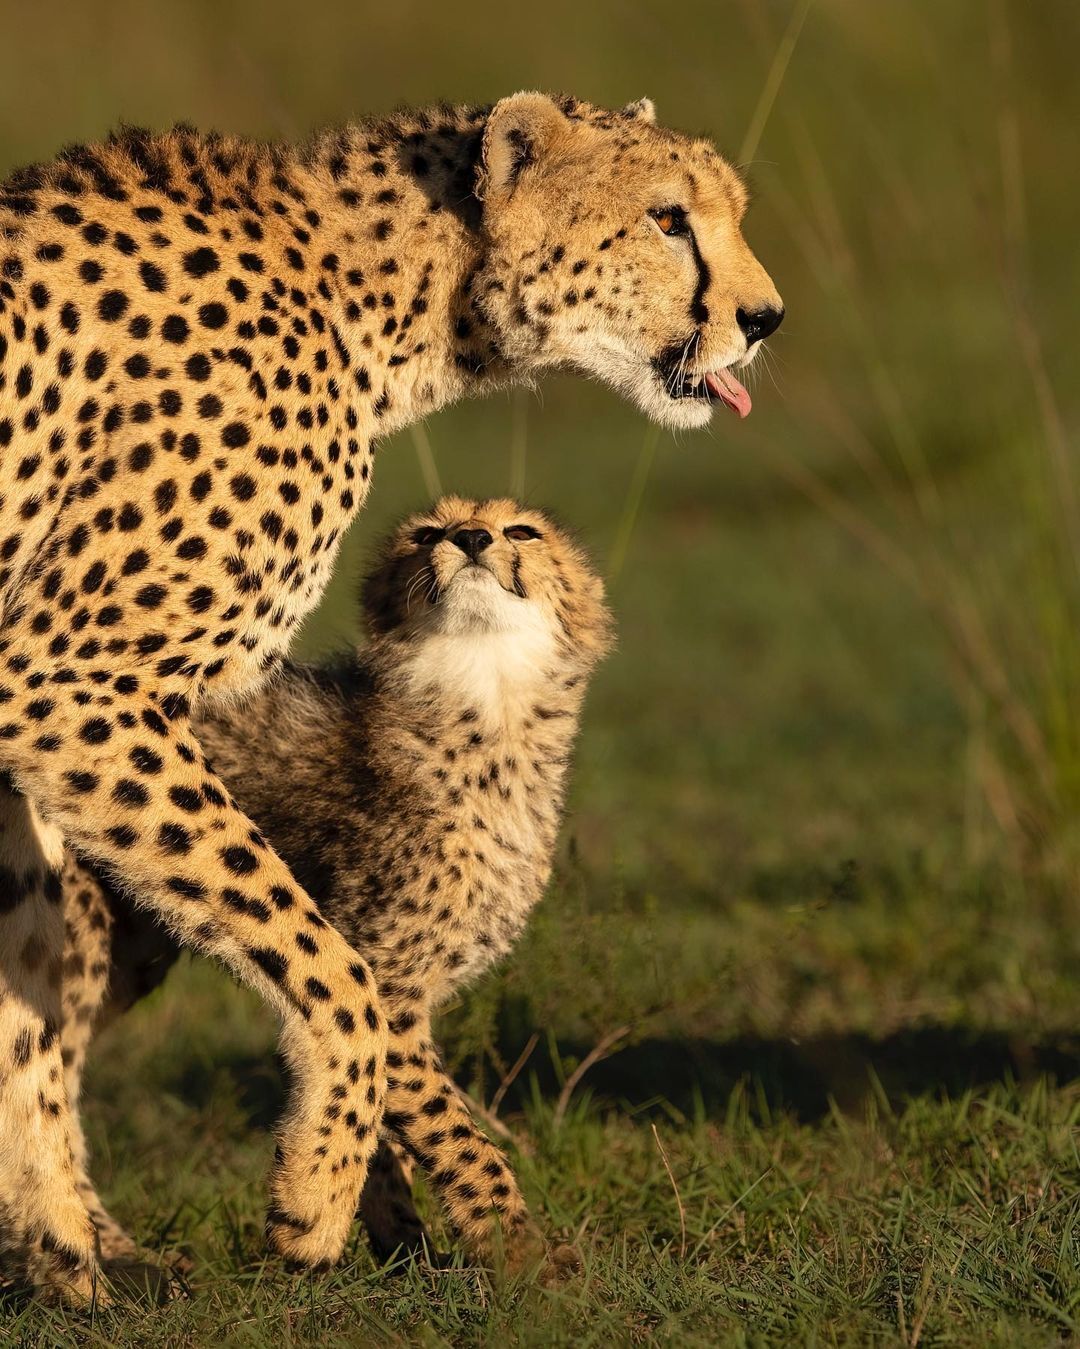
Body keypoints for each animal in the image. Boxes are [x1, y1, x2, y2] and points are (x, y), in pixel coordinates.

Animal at [0, 95, 782, 1295]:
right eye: (668, 218)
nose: (765, 318)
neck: (383, 295)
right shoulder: (68, 676)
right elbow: (330, 966)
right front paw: (314, 1196)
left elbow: (22, 1003)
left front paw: (73, 1259)